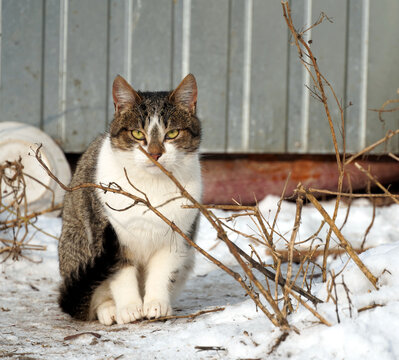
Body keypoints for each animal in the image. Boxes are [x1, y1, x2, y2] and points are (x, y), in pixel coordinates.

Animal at [57, 74, 202, 326]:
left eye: (172, 134)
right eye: (137, 134)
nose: (154, 154)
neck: (150, 186)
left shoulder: (177, 237)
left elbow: (161, 273)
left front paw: (156, 304)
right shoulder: (108, 234)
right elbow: (120, 273)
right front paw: (130, 308)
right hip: (77, 243)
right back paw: (109, 310)